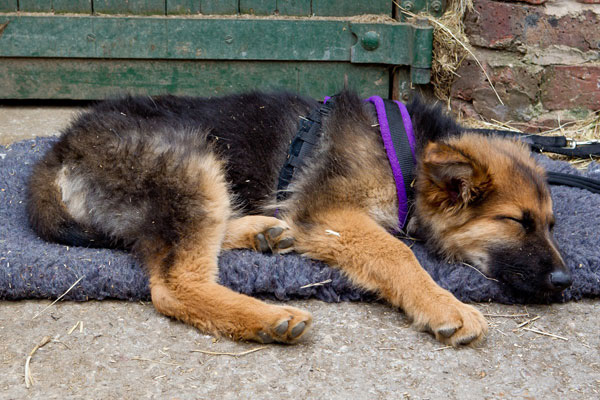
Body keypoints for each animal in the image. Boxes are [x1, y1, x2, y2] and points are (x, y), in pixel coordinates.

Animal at [27, 89, 572, 346]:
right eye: (517, 221)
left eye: (550, 224)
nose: (566, 282)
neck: (406, 154)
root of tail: (60, 152)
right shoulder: (330, 211)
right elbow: (396, 251)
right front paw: (446, 305)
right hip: (192, 159)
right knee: (174, 284)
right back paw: (269, 317)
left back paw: (264, 231)